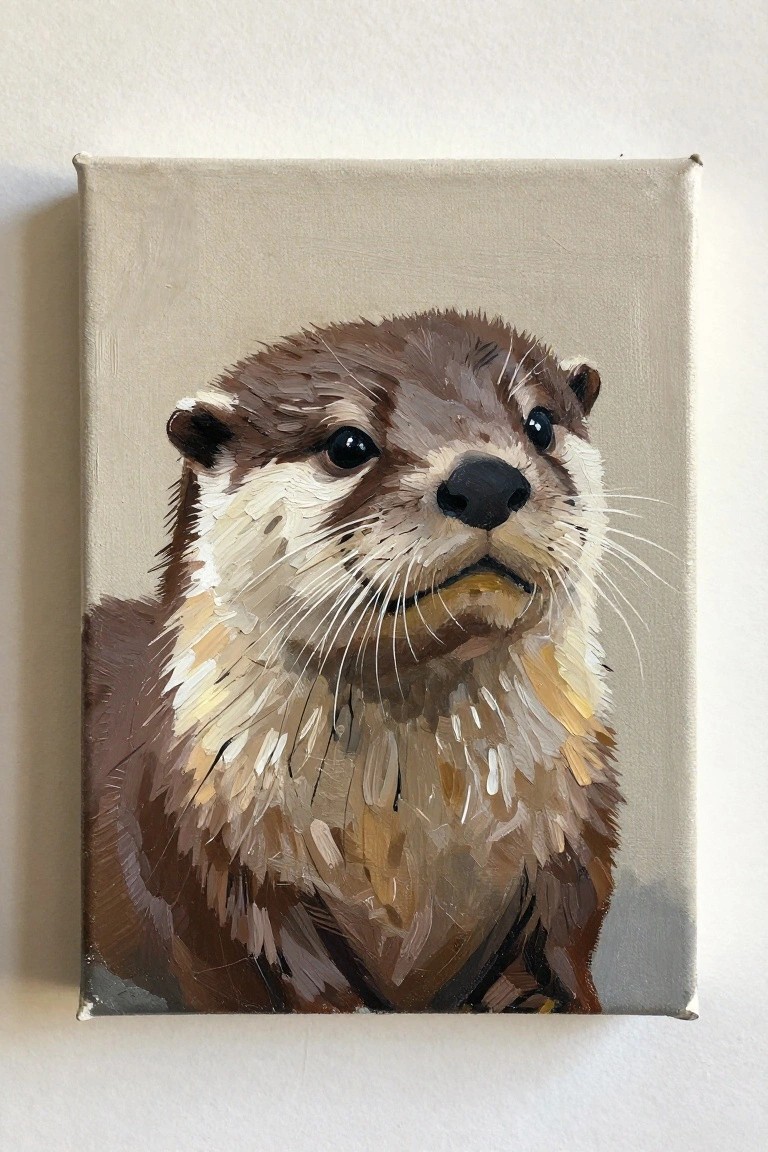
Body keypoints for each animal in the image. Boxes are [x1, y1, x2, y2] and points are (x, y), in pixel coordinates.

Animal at [83, 309, 620, 1014]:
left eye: (539, 423)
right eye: (347, 445)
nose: (486, 481)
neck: (416, 834)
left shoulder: (576, 835)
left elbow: (562, 942)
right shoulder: (208, 875)